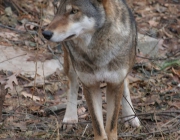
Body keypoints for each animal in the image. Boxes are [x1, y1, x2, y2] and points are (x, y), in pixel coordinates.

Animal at [42, 0, 141, 139]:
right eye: (57, 9)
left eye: (74, 11)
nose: (45, 33)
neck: (97, 50)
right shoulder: (90, 85)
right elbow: (98, 126)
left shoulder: (115, 83)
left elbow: (111, 125)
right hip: (70, 62)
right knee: (72, 85)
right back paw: (70, 118)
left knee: (126, 83)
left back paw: (131, 117)